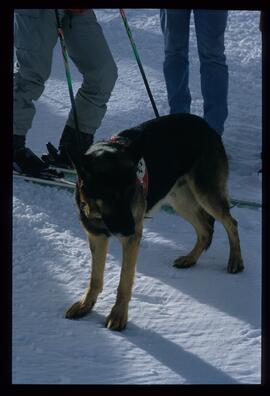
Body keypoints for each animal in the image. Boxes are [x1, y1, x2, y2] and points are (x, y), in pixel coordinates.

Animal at [66, 113, 245, 332]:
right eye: (111, 196)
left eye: (131, 192)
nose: (130, 229)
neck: (98, 211)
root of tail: (206, 125)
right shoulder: (97, 237)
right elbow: (95, 278)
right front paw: (86, 304)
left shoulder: (131, 240)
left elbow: (124, 282)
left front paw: (118, 315)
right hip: (180, 201)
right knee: (205, 229)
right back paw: (190, 259)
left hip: (206, 195)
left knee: (231, 222)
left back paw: (235, 260)